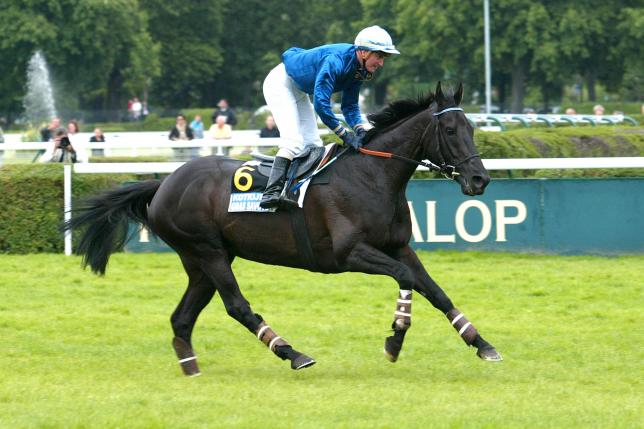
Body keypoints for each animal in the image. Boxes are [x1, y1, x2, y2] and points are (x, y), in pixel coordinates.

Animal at [66, 82, 504, 376]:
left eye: (472, 129)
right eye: (450, 131)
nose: (480, 179)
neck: (373, 175)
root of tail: (163, 184)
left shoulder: (398, 246)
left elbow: (434, 290)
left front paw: (482, 343)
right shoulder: (349, 253)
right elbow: (405, 279)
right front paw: (395, 339)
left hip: (201, 262)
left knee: (182, 317)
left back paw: (191, 367)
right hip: (208, 252)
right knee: (237, 306)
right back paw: (292, 352)